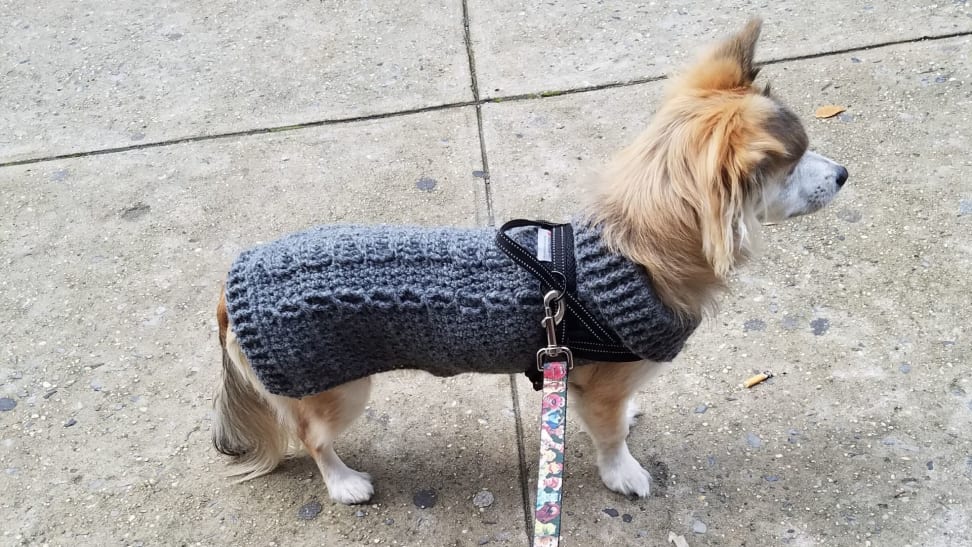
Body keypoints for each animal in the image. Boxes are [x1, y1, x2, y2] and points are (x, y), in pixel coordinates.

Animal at [211, 19, 844, 508]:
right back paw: (343, 482)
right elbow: (610, 438)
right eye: (792, 164)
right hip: (338, 392)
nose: (843, 174)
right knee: (313, 439)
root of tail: (233, 282)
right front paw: (622, 472)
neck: (630, 252)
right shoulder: (598, 392)